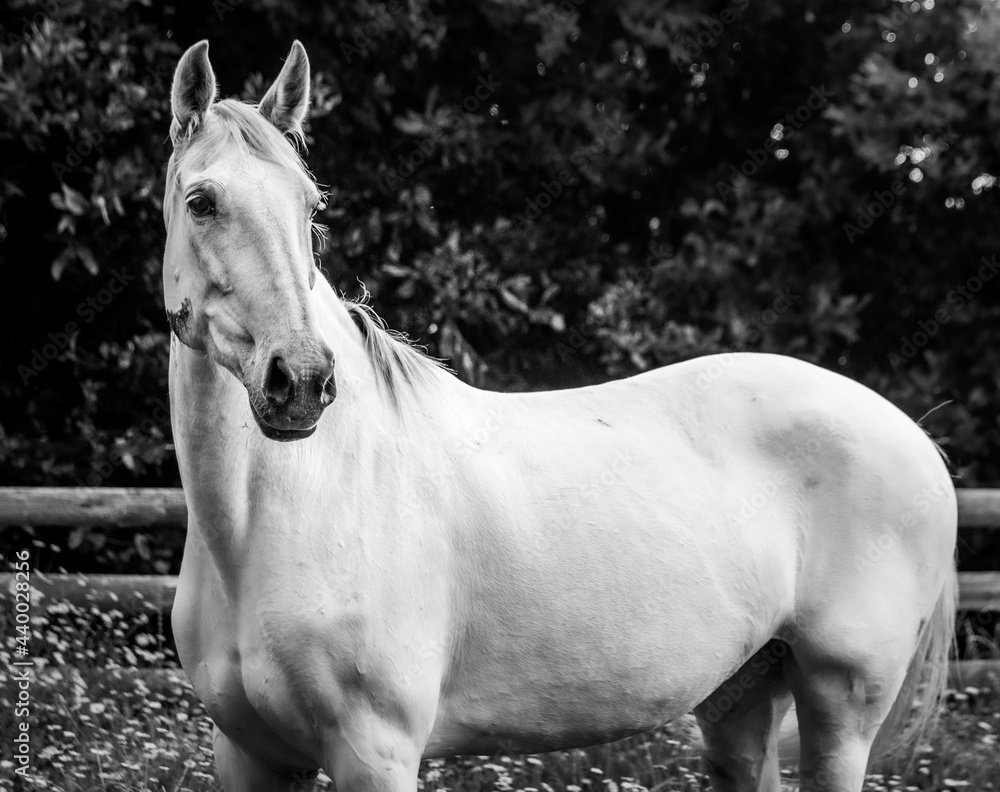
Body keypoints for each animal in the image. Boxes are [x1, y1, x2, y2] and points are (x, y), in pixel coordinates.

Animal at [165, 40, 958, 792]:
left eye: (310, 207)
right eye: (201, 201)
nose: (300, 380)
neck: (277, 517)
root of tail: (916, 438)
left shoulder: (376, 755)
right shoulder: (251, 756)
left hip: (841, 704)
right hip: (742, 694)